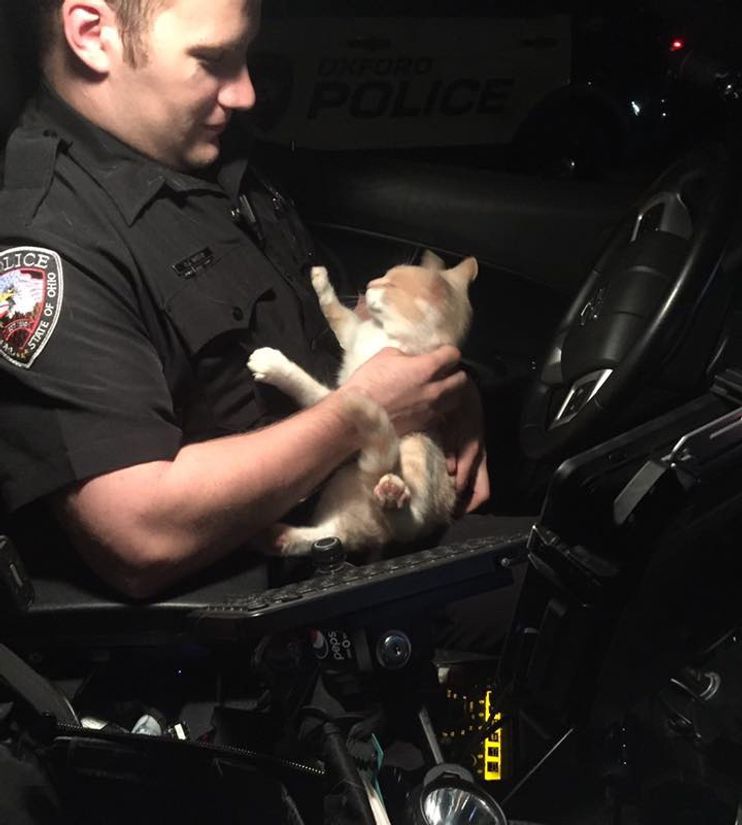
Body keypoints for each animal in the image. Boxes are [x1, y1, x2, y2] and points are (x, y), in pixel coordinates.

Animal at [248, 251, 482, 556]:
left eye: (390, 284)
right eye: (384, 275)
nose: (370, 283)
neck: (386, 336)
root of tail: (378, 534)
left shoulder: (345, 391)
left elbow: (309, 387)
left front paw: (274, 365)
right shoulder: (351, 332)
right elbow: (335, 311)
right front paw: (320, 280)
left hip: (416, 449)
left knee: (408, 521)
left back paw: (392, 496)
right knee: (326, 536)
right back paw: (274, 536)